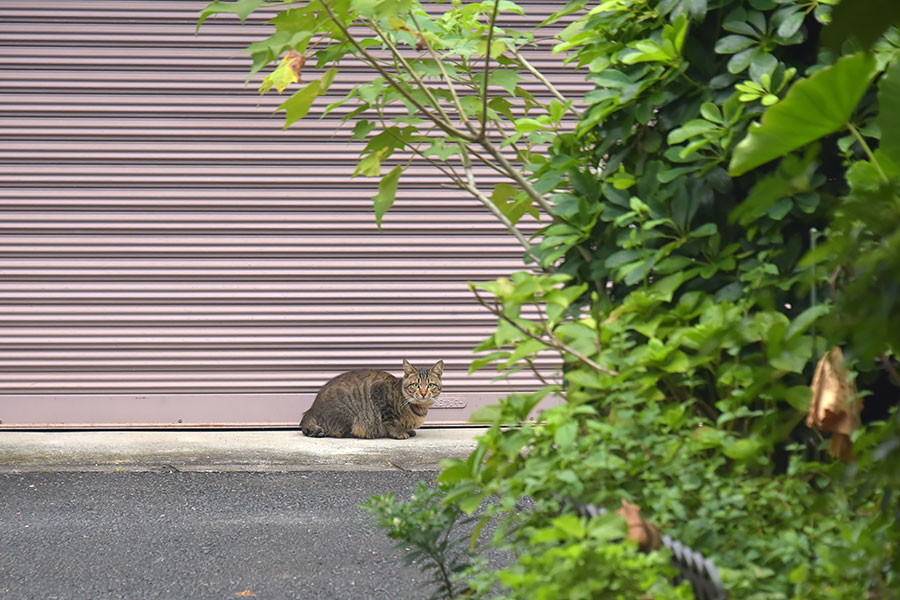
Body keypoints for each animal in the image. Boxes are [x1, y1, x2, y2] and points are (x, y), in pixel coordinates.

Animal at [300, 358, 444, 438]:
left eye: (430, 385)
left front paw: (408, 430)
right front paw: (399, 432)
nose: (423, 393)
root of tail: (311, 410)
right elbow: (391, 421)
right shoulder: (380, 393)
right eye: (415, 385)